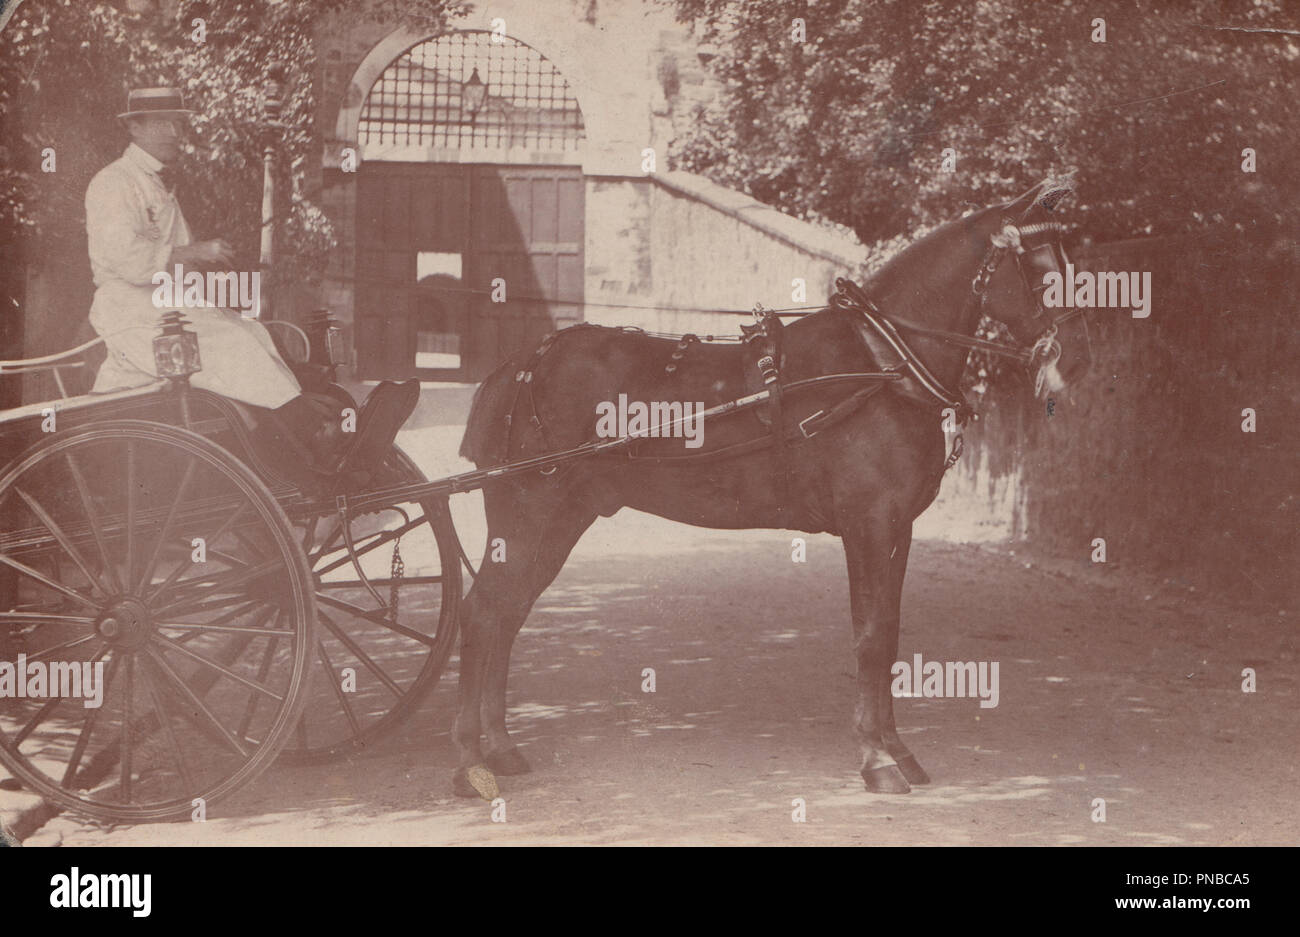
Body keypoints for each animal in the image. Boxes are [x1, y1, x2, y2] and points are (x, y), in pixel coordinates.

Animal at [452, 176, 1092, 795]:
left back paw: (499, 747)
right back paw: (469, 762)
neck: (880, 363)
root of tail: (522, 365)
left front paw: (897, 750)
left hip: (561, 520)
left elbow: (887, 636)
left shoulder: (896, 530)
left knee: (507, 612)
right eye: (1037, 266)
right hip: (528, 514)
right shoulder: (866, 525)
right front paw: (876, 758)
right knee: (482, 613)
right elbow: (870, 637)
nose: (1077, 361)